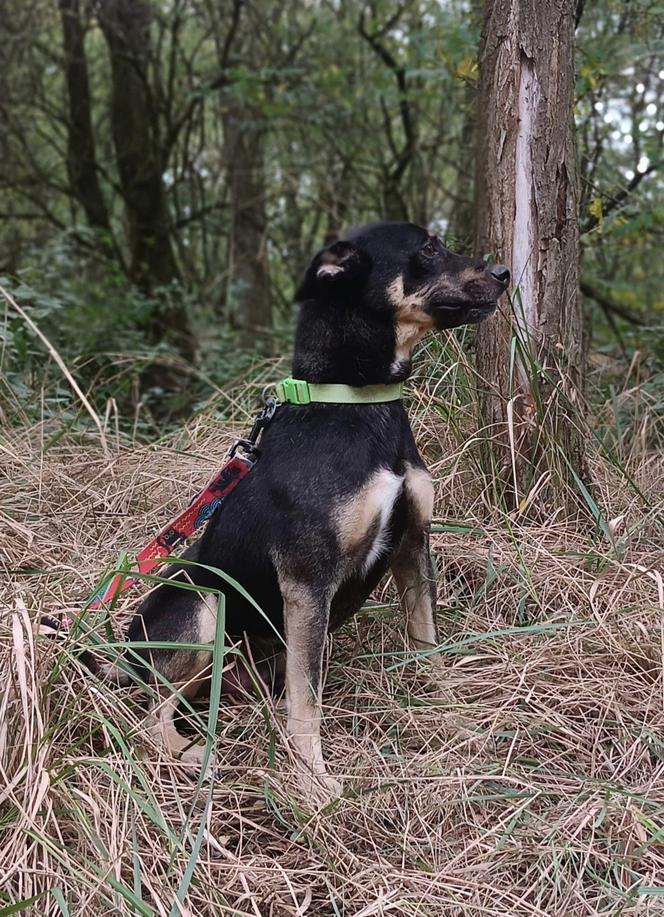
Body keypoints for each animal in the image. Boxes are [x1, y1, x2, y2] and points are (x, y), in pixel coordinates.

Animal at [87, 224, 508, 800]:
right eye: (427, 248)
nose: (504, 273)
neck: (354, 401)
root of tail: (124, 654)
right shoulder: (308, 581)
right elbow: (307, 703)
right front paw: (314, 783)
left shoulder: (413, 544)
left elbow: (429, 649)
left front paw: (453, 718)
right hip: (206, 606)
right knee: (151, 716)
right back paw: (193, 757)